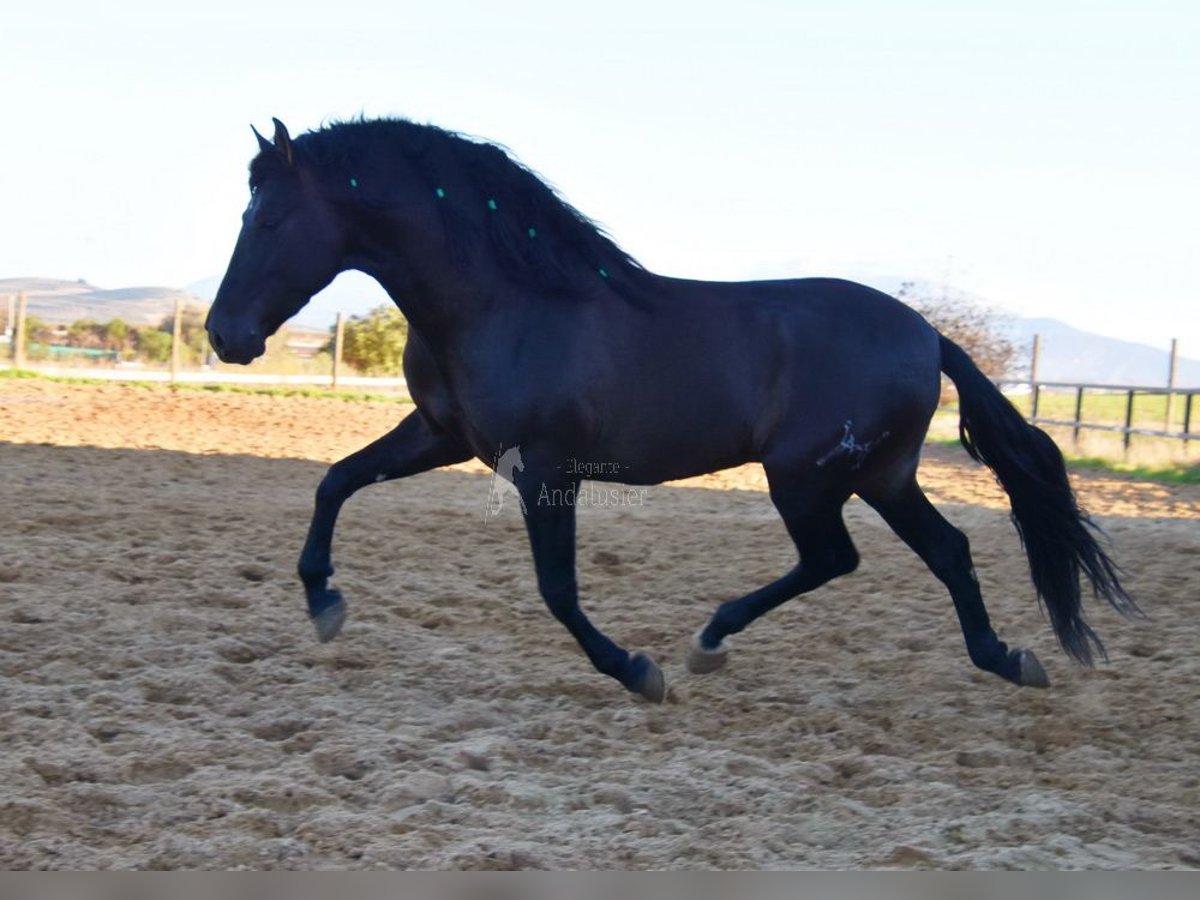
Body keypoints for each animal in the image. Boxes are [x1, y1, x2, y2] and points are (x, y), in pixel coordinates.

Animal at [206, 116, 1132, 705]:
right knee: (941, 551)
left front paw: (635, 671)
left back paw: (707, 643)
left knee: (840, 557)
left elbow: (557, 588)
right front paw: (324, 606)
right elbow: (334, 480)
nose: (225, 335)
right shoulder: (441, 436)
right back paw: (1006, 659)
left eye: (271, 217)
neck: (505, 302)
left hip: (809, 478)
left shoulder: (545, 470)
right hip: (881, 475)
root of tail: (929, 334)